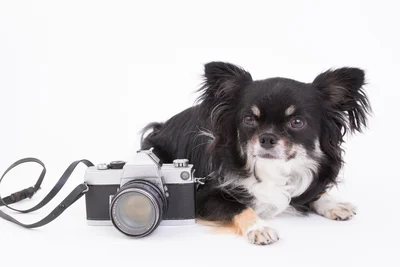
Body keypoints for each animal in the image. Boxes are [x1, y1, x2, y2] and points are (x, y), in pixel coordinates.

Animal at [141, 61, 372, 246]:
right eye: (249, 120)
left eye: (297, 122)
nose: (267, 138)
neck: (272, 169)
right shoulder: (204, 196)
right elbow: (239, 207)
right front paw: (259, 227)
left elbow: (311, 193)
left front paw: (333, 203)